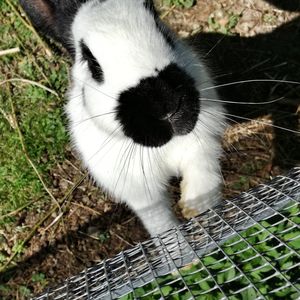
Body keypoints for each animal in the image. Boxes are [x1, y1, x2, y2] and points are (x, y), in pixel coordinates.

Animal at [19, 0, 226, 236]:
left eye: (164, 34)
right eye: (92, 64)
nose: (167, 107)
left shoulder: (201, 145)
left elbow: (203, 176)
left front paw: (199, 209)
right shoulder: (139, 191)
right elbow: (160, 224)